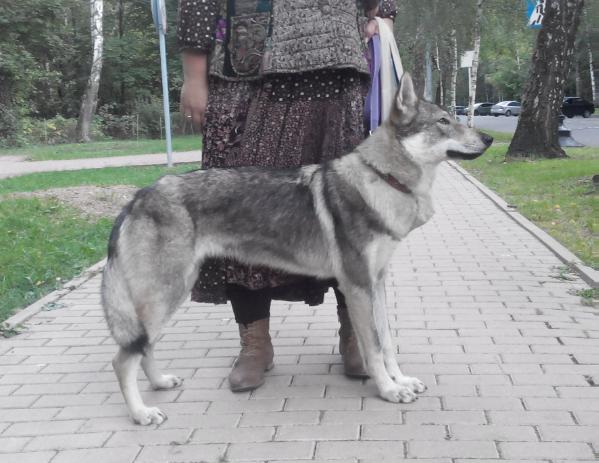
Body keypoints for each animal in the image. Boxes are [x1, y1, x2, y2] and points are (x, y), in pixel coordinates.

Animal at [101, 74, 492, 426]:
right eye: (444, 121)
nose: (489, 137)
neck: (383, 179)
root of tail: (138, 195)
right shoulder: (357, 285)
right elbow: (373, 348)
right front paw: (388, 390)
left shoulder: (377, 283)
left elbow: (388, 342)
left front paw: (402, 380)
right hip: (167, 294)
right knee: (122, 359)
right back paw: (141, 413)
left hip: (165, 298)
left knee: (144, 348)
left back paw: (160, 383)